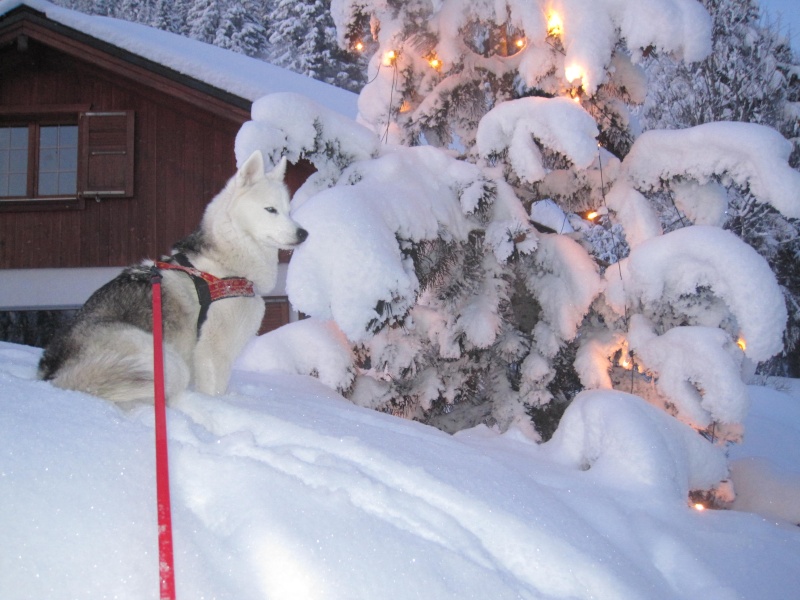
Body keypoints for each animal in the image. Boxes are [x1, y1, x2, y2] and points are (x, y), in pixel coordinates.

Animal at [37, 150, 308, 406]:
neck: (224, 266)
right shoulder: (211, 353)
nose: (303, 233)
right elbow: (213, 392)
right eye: (271, 209)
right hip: (167, 361)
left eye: (289, 211)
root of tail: (51, 371)